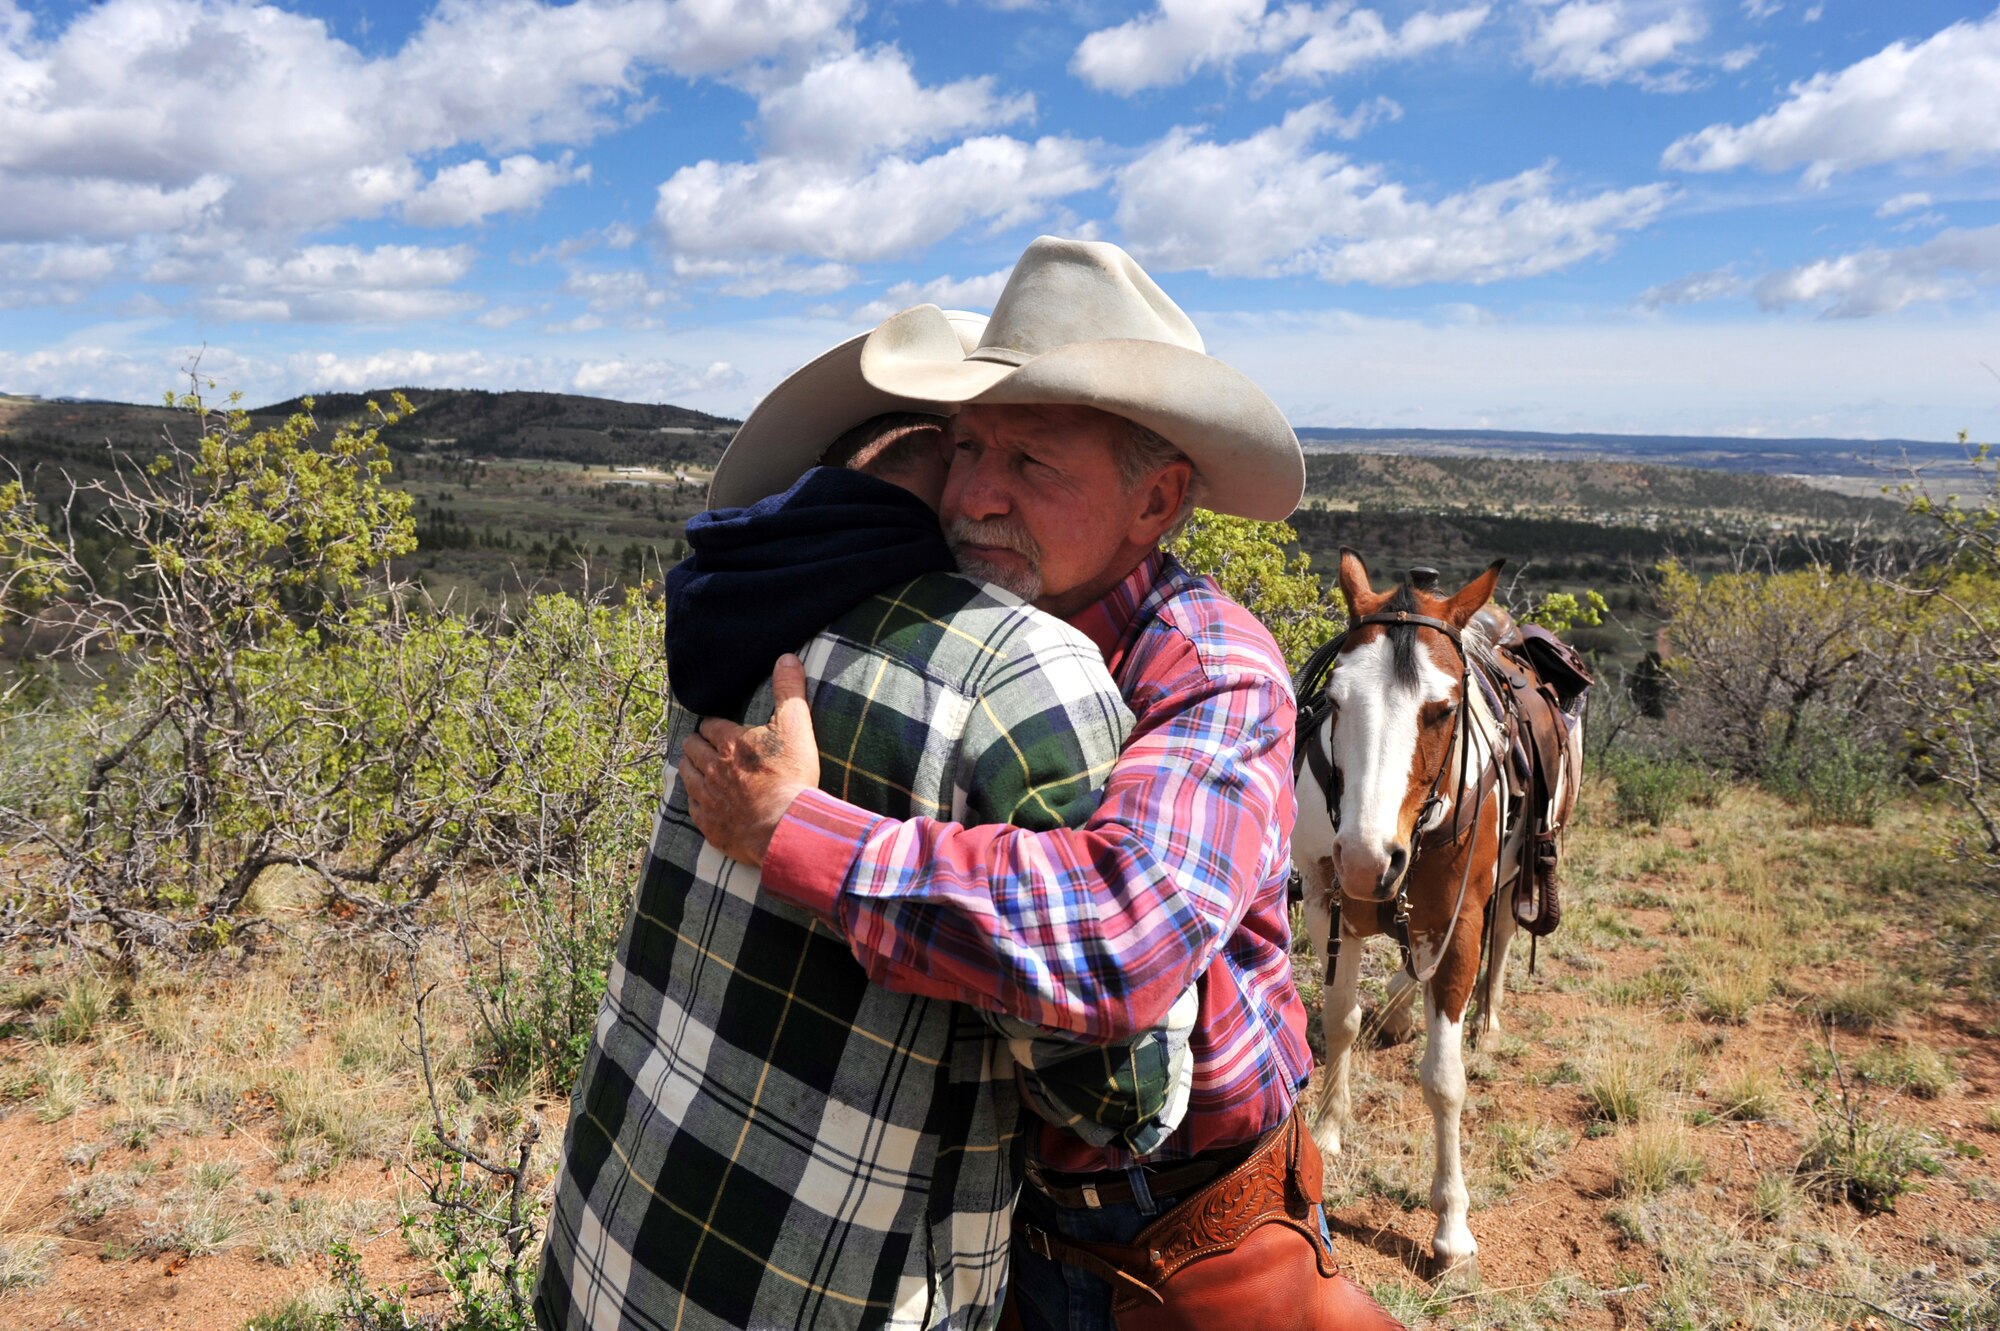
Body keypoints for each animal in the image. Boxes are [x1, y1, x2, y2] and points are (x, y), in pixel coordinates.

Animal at [1288, 543, 1568, 1279]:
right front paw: (1329, 1129)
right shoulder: (1331, 901)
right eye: (1335, 700)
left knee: (1501, 949)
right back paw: (1395, 1007)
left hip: (1506, 888)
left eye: (1441, 710)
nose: (1368, 856)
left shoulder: (1459, 923)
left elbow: (1443, 1080)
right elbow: (1340, 1017)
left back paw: (1488, 1021)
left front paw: (1450, 1228)